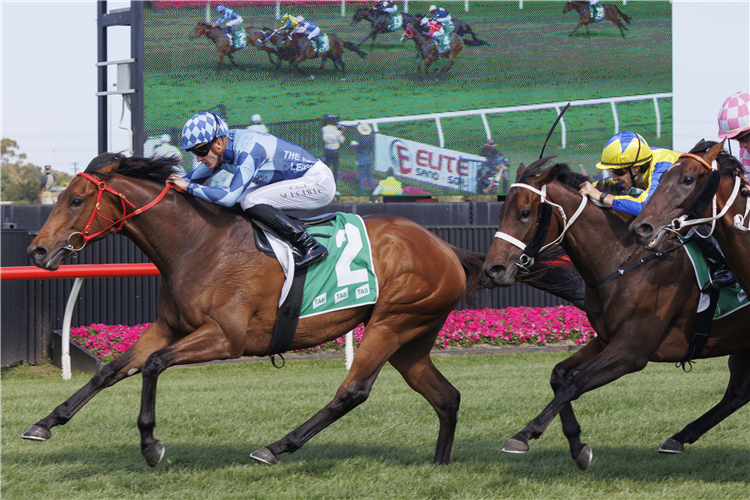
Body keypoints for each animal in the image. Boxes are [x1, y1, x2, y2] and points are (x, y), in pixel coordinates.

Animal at [20, 154, 490, 466]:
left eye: (76, 200)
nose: (37, 251)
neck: (197, 243)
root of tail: (445, 247)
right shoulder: (169, 326)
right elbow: (112, 369)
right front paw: (44, 423)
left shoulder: (227, 337)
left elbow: (153, 365)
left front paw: (151, 445)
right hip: (412, 337)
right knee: (446, 397)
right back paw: (439, 464)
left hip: (393, 322)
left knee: (352, 392)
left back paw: (276, 447)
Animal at [482, 159, 750, 468]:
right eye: (501, 212)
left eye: (525, 213)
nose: (492, 269)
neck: (625, 263)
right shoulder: (606, 339)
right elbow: (558, 375)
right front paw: (577, 445)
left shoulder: (631, 351)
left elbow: (573, 384)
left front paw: (525, 434)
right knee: (738, 394)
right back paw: (678, 438)